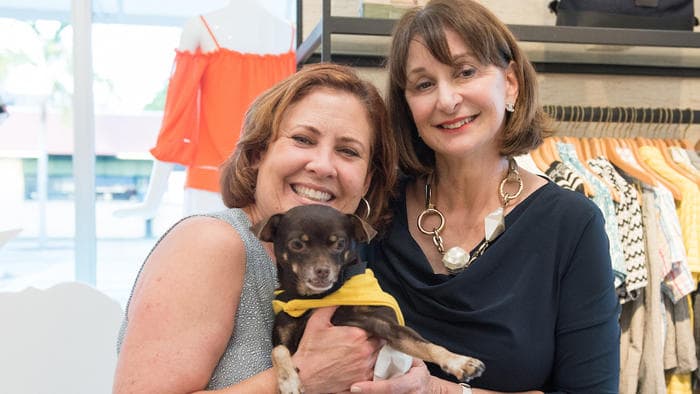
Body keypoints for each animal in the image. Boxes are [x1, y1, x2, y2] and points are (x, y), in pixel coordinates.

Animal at [253, 205, 486, 394]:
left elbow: (427, 345)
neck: (319, 298)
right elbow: (278, 351)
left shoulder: (387, 326)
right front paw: (289, 381)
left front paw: (459, 362)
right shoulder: (284, 334)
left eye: (339, 244)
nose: (322, 271)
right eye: (297, 245)